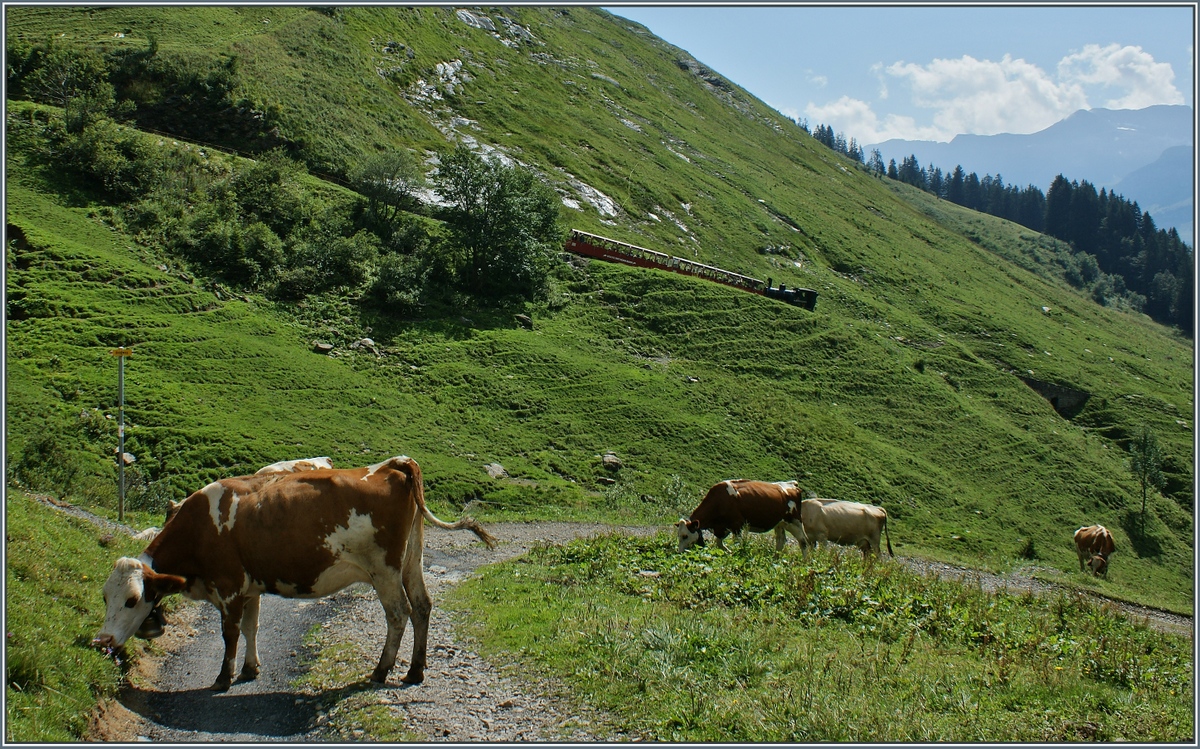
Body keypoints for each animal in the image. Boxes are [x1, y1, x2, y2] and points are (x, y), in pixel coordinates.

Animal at [676, 480, 806, 549]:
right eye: (678, 536)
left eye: (685, 536)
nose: (679, 552)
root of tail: (792, 484)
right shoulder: (722, 528)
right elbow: (719, 544)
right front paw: (727, 552)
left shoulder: (736, 525)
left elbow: (736, 543)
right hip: (780, 524)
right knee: (780, 541)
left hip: (795, 521)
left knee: (803, 541)